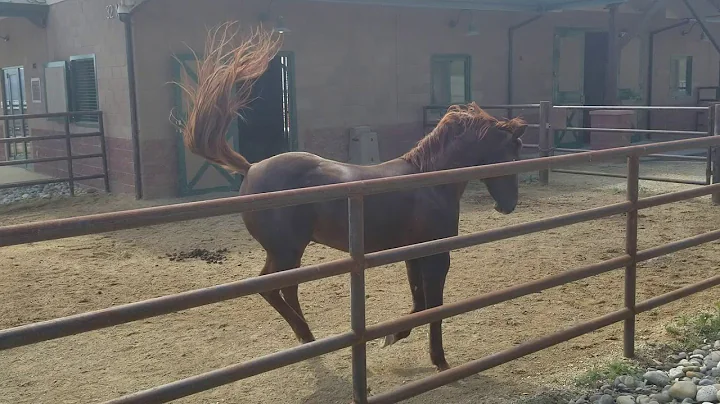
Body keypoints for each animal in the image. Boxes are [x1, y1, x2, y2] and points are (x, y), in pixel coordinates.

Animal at [178, 22, 527, 372]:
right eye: (513, 151)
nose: (509, 205)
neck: (429, 182)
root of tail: (250, 168)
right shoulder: (435, 256)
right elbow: (434, 308)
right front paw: (439, 361)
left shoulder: (413, 254)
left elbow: (418, 303)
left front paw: (392, 336)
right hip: (286, 251)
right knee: (273, 287)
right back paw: (308, 337)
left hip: (287, 253)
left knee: (285, 288)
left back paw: (307, 338)